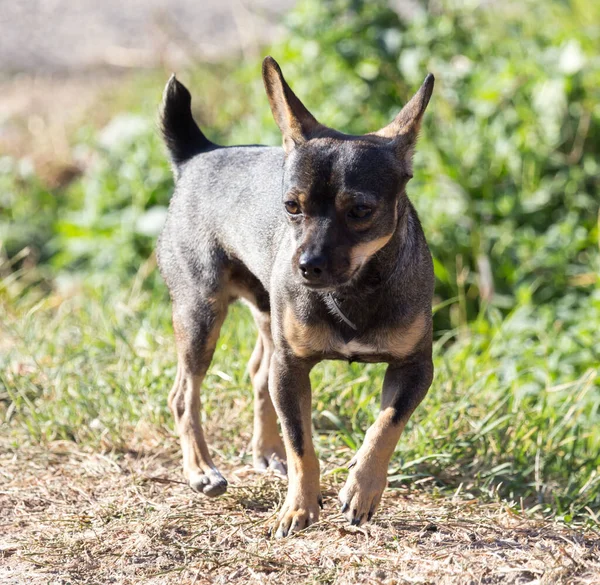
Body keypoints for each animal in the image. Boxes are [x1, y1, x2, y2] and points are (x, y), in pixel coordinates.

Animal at [157, 57, 434, 536]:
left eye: (361, 211)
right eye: (291, 207)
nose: (306, 265)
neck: (353, 290)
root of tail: (196, 155)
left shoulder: (415, 368)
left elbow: (385, 425)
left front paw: (361, 487)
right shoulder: (291, 369)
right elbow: (302, 442)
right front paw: (299, 507)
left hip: (264, 316)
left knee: (256, 373)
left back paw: (267, 452)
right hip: (200, 316)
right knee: (184, 395)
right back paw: (201, 471)